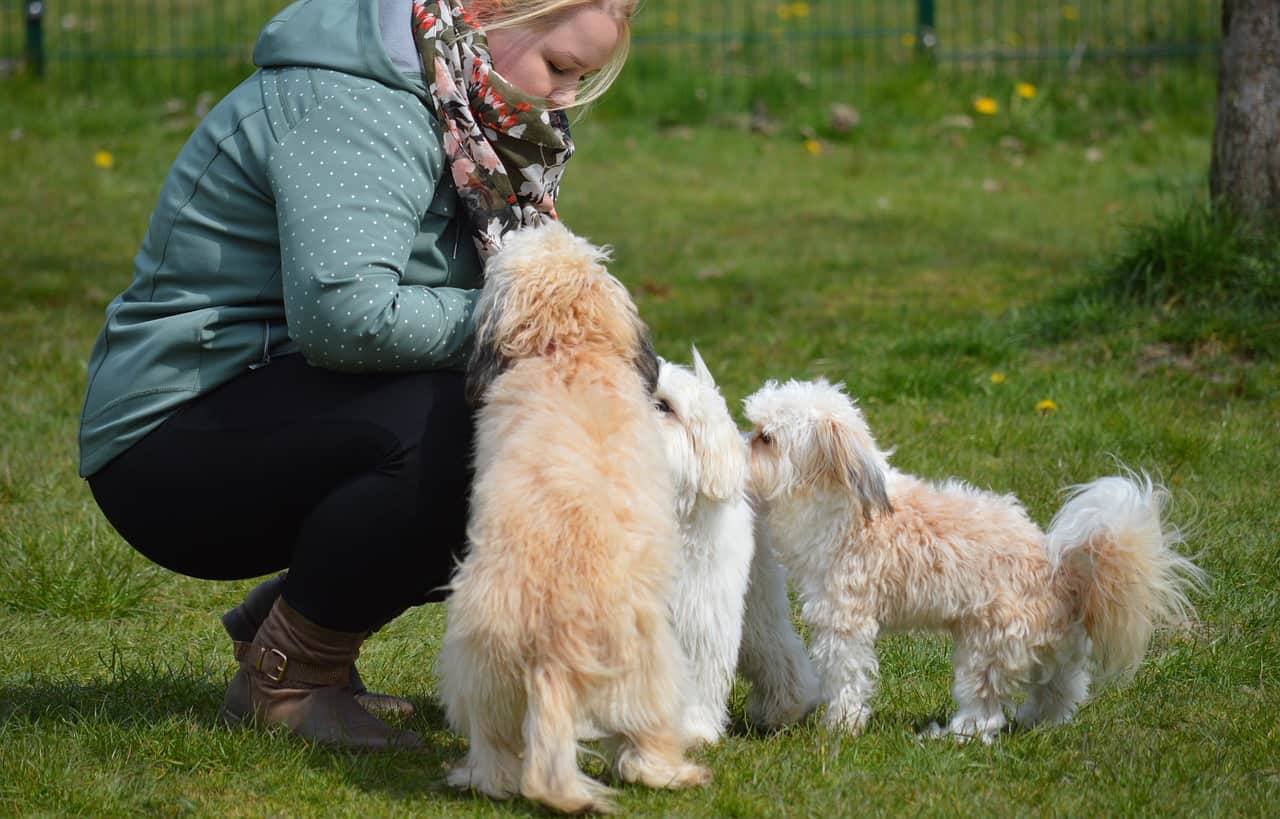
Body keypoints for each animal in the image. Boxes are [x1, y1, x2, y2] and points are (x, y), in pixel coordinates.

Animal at [440, 222, 711, 813]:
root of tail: (556, 640)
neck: (567, 349)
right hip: (651, 665)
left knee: (497, 749)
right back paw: (674, 772)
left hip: (485, 671)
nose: (538, 218)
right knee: (642, 745)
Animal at [655, 348, 814, 747]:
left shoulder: (699, 618)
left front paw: (693, 730)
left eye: (664, 406)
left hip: (755, 601)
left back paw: (786, 707)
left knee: (775, 647)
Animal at [747, 378, 1203, 742]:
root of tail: (1065, 575)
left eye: (765, 437)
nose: (742, 441)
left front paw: (839, 727)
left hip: (986, 649)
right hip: (1055, 649)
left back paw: (947, 736)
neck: (843, 504)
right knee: (1060, 691)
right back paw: (1036, 722)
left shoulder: (843, 620)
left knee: (983, 714)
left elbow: (846, 677)